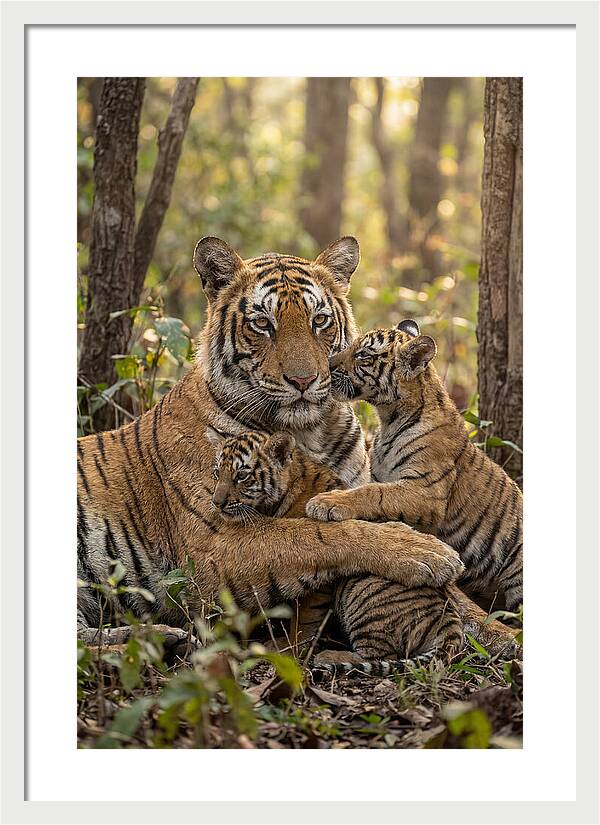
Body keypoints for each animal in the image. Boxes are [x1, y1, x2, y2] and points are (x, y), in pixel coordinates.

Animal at [77, 238, 465, 646]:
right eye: (262, 323)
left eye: (319, 320)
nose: (304, 380)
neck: (309, 432)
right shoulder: (214, 544)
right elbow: (315, 534)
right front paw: (426, 552)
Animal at [208, 427, 464, 672]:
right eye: (217, 473)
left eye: (242, 476)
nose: (216, 503)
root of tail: (450, 620)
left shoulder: (320, 575)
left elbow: (305, 617)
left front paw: (290, 647)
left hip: (361, 590)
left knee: (381, 655)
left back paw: (329, 656)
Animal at [306, 319, 523, 617]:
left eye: (363, 356)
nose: (327, 365)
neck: (389, 418)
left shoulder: (426, 491)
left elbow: (375, 493)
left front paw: (327, 502)